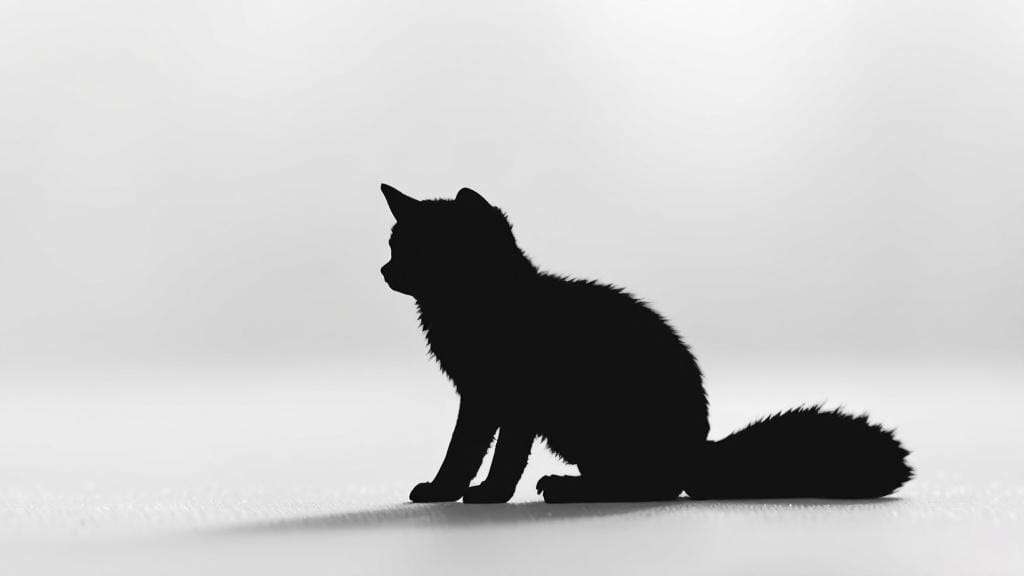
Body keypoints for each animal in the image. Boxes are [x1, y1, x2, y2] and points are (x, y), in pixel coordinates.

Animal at [379, 183, 912, 503]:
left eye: (421, 248)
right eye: (394, 245)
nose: (385, 270)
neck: (474, 307)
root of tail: (698, 450)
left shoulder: (509, 400)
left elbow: (496, 453)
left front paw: (487, 493)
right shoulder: (480, 397)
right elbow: (463, 450)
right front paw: (446, 489)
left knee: (651, 486)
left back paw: (567, 489)